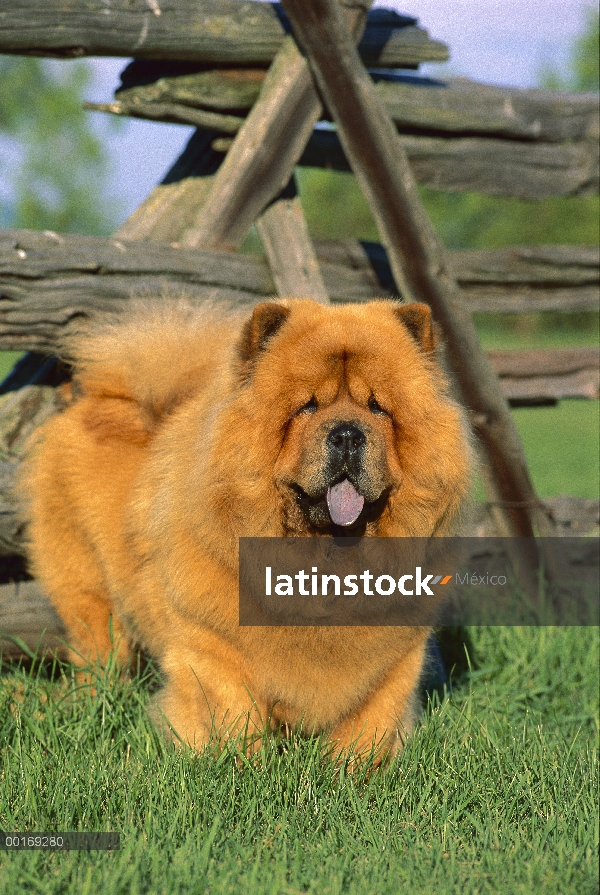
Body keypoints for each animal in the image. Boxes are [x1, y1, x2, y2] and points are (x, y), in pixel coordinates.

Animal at [18, 300, 472, 764]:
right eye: (307, 407)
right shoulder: (211, 644)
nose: (347, 433)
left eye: (378, 408)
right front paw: (238, 766)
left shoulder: (396, 658)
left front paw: (358, 771)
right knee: (99, 650)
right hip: (90, 594)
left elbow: (372, 720)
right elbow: (232, 710)